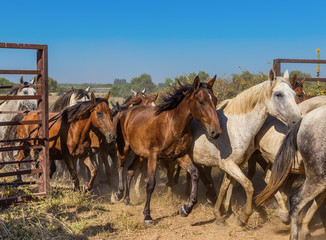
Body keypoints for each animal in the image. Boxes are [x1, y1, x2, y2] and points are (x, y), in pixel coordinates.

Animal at [115, 76, 222, 225]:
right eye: (201, 101)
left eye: (215, 100)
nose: (216, 132)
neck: (172, 125)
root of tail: (125, 112)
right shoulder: (153, 156)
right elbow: (150, 184)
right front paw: (147, 216)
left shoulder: (180, 156)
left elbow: (194, 173)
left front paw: (186, 209)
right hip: (124, 148)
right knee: (120, 166)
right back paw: (119, 194)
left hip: (140, 155)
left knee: (130, 171)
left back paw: (127, 199)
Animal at [190, 68, 302, 226]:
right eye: (278, 94)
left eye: (294, 94)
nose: (298, 121)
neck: (235, 127)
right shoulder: (228, 164)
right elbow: (248, 186)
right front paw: (243, 218)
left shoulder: (236, 163)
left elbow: (226, 186)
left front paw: (222, 213)